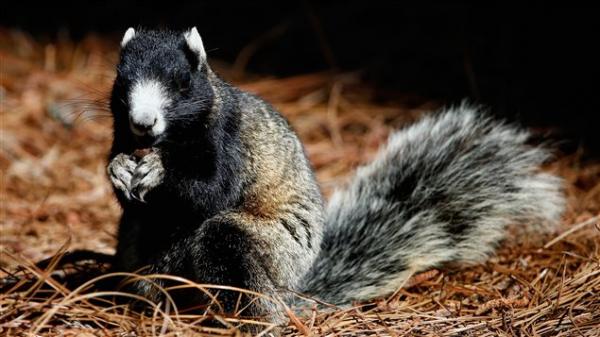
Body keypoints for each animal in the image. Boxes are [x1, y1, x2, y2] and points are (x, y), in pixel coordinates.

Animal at [106, 27, 564, 326]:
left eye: (182, 83)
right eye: (121, 80)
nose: (143, 123)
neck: (170, 140)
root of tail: (291, 296)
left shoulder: (229, 138)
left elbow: (212, 191)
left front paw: (158, 171)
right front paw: (119, 169)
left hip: (262, 249)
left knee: (232, 253)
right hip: (141, 253)